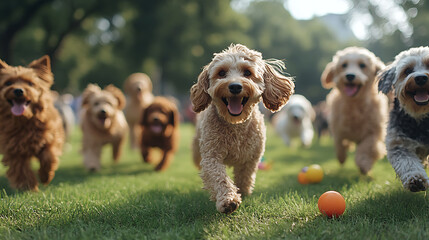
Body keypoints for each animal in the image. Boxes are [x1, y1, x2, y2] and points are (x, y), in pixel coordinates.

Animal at [0, 55, 64, 191]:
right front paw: (28, 188)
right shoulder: (14, 150)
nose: (18, 91)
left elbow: (48, 156)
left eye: (30, 83)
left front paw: (45, 176)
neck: (24, 120)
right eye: (8, 83)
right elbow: (21, 170)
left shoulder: (51, 138)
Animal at [191, 43, 294, 214]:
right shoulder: (212, 155)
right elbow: (219, 177)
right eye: (221, 73)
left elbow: (245, 176)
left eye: (247, 72)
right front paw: (228, 200)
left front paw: (244, 192)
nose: (235, 86)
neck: (236, 125)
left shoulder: (251, 157)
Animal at [320, 46, 388, 174]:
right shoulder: (337, 128)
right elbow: (339, 143)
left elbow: (367, 147)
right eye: (344, 65)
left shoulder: (373, 132)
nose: (350, 76)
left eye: (362, 65)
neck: (354, 105)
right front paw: (341, 157)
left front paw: (364, 164)